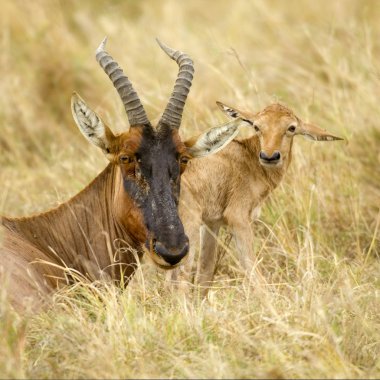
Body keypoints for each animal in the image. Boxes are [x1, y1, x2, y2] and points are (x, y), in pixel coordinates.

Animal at [171, 100, 346, 290]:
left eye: (291, 127)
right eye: (257, 126)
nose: (269, 156)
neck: (245, 156)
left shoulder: (212, 223)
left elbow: (205, 273)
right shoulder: (237, 218)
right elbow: (255, 274)